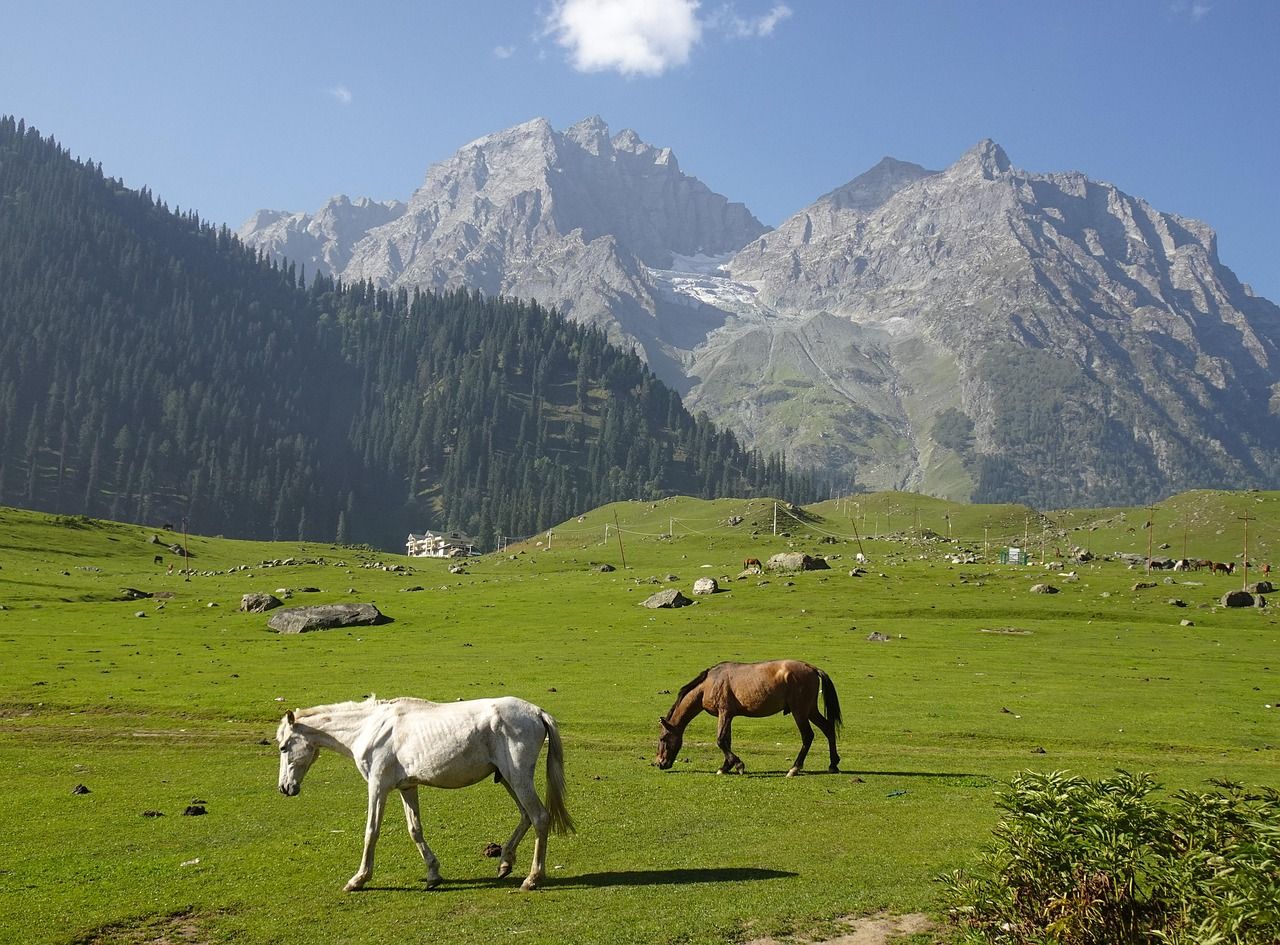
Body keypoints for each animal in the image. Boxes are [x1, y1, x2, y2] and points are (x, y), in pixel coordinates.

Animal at [276, 695, 573, 892]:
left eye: (283, 747)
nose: (284, 788)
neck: (369, 729)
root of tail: (536, 711)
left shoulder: (377, 787)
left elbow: (371, 832)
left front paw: (358, 879)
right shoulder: (407, 788)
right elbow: (415, 830)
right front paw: (433, 874)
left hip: (518, 778)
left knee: (539, 817)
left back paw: (532, 878)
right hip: (508, 779)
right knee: (526, 816)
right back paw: (505, 863)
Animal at [655, 660, 841, 777]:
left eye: (663, 738)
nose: (658, 763)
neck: (708, 684)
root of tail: (812, 668)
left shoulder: (724, 713)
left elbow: (720, 741)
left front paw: (738, 765)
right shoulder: (728, 715)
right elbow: (727, 741)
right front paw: (725, 767)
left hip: (800, 712)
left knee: (808, 736)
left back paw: (794, 768)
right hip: (810, 710)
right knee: (828, 728)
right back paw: (833, 765)